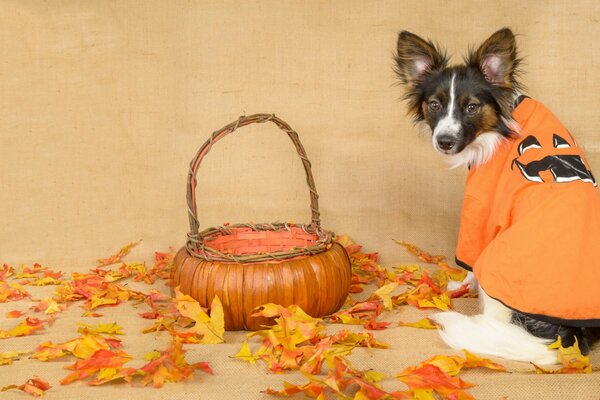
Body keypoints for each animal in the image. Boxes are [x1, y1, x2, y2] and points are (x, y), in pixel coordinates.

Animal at [394, 28, 600, 366]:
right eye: (434, 105)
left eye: (472, 107)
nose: (444, 142)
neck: (500, 125)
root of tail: (566, 337)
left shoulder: (480, 210)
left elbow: (469, 262)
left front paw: (459, 286)